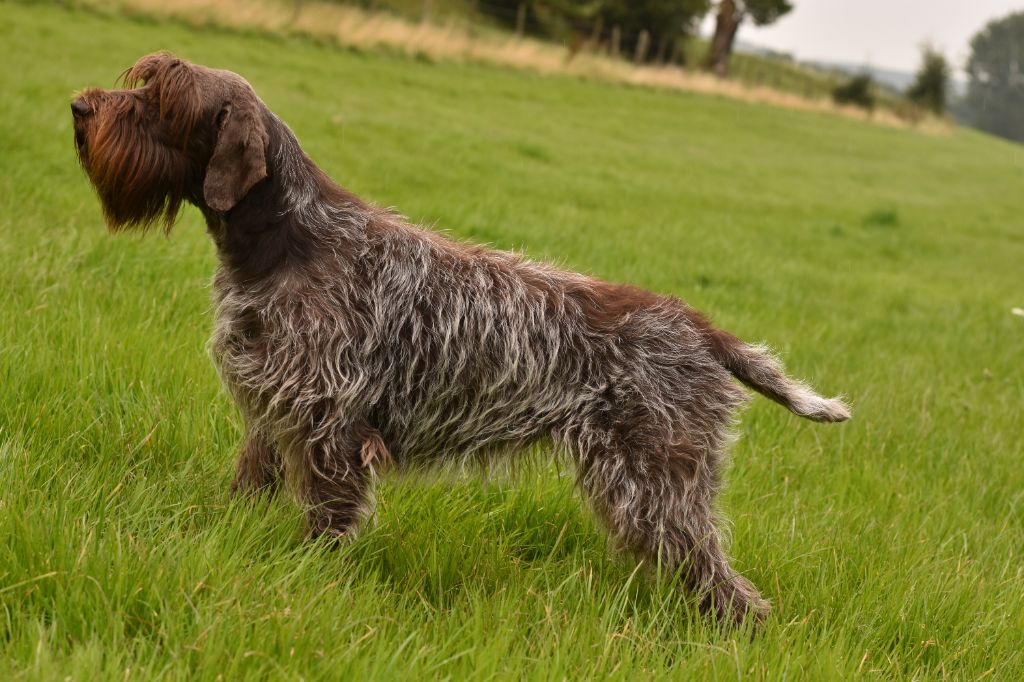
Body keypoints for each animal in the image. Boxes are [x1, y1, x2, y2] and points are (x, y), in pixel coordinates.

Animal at [72, 53, 851, 626]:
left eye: (163, 101)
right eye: (141, 83)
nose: (81, 107)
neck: (286, 238)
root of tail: (698, 327)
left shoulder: (329, 425)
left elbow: (326, 519)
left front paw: (305, 574)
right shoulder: (274, 405)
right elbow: (249, 484)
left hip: (657, 485)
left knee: (727, 585)